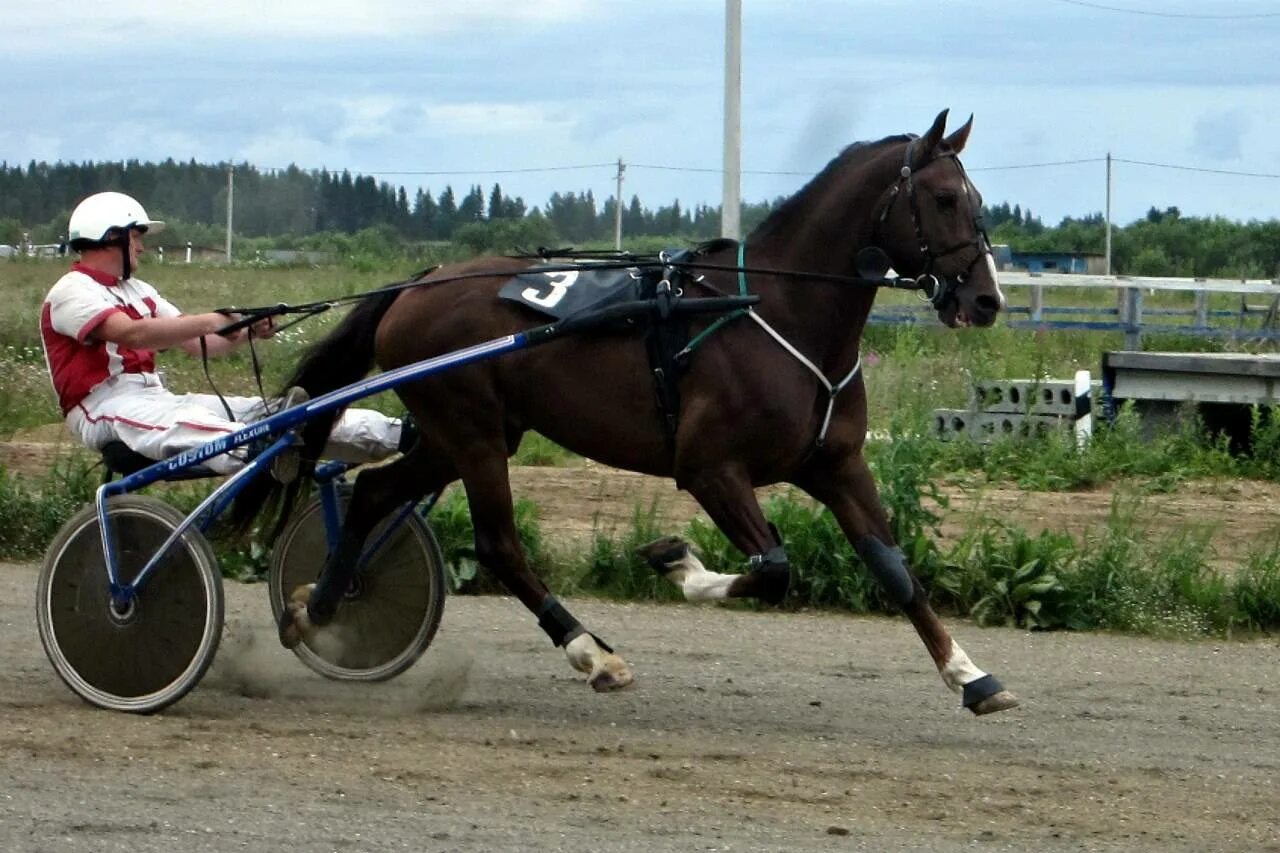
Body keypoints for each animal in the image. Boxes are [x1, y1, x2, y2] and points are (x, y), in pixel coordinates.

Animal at [244, 109, 1013, 712]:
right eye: (944, 198)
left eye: (978, 198)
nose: (986, 299)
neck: (776, 309)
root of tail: (418, 284)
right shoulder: (709, 467)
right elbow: (772, 567)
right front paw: (676, 561)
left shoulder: (836, 465)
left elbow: (894, 567)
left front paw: (970, 674)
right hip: (472, 432)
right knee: (498, 544)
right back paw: (592, 653)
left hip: (463, 432)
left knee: (376, 492)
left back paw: (317, 607)